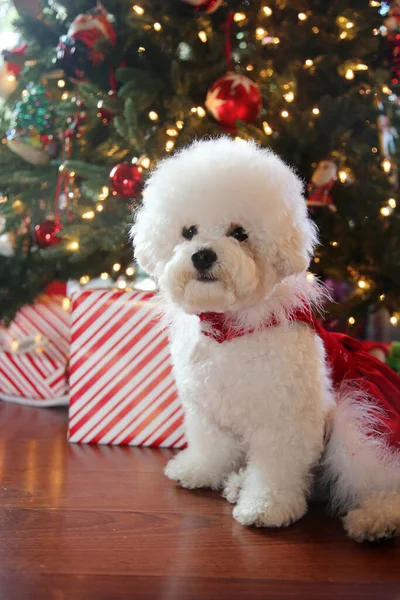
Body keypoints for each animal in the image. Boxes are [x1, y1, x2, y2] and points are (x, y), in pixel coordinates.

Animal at [133, 138, 400, 540]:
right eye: (188, 231)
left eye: (240, 233)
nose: (203, 255)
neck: (230, 329)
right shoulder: (207, 407)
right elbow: (211, 444)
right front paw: (200, 469)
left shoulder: (285, 421)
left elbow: (276, 470)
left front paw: (266, 506)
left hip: (359, 421)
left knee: (377, 476)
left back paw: (376, 518)